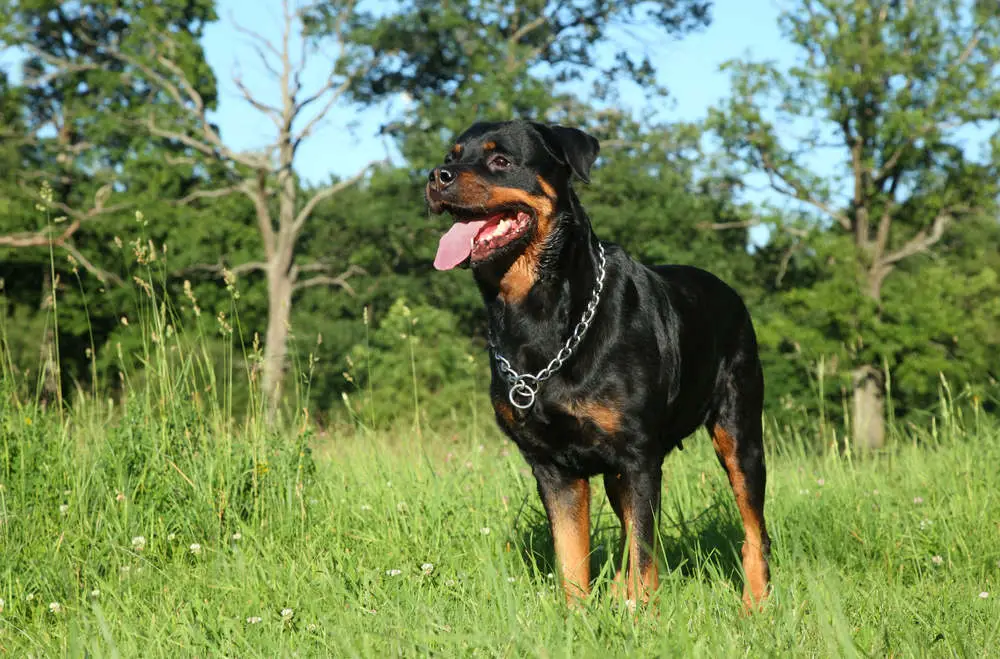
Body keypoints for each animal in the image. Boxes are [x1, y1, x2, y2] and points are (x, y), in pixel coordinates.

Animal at [426, 121, 768, 612]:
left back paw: (755, 602)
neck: (538, 315)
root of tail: (729, 291)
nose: (437, 176)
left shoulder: (639, 457)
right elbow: (572, 555)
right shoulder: (553, 468)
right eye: (450, 156)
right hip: (614, 472)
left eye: (500, 160)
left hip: (739, 432)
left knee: (754, 527)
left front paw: (641, 615)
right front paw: (577, 616)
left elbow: (644, 553)